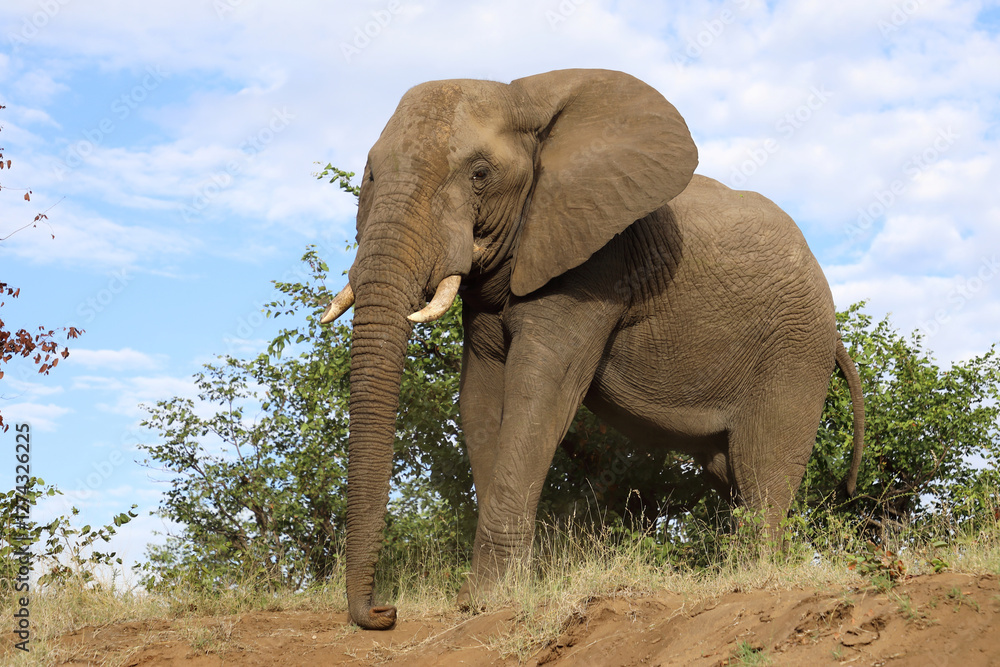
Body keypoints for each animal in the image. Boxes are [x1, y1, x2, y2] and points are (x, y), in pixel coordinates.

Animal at [321, 68, 865, 630]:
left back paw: (753, 575)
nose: (384, 612)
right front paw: (485, 595)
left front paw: (487, 600)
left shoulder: (594, 264)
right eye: (368, 175)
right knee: (728, 469)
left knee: (762, 469)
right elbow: (479, 400)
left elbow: (539, 395)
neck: (523, 97)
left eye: (479, 174)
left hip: (795, 347)